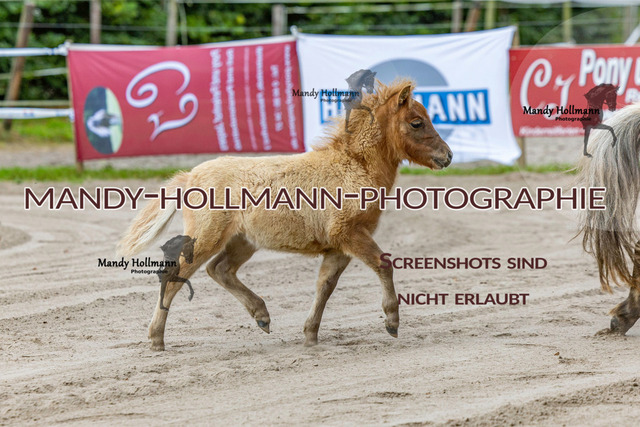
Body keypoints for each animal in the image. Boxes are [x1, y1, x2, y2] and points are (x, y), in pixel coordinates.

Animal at [117, 78, 452, 351]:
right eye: (417, 123)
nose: (447, 156)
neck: (352, 166)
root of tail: (189, 177)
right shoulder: (349, 234)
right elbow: (384, 265)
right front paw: (392, 321)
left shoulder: (338, 246)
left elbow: (325, 286)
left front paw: (310, 335)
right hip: (205, 237)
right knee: (174, 275)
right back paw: (156, 339)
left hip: (243, 241)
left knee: (220, 269)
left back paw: (262, 316)